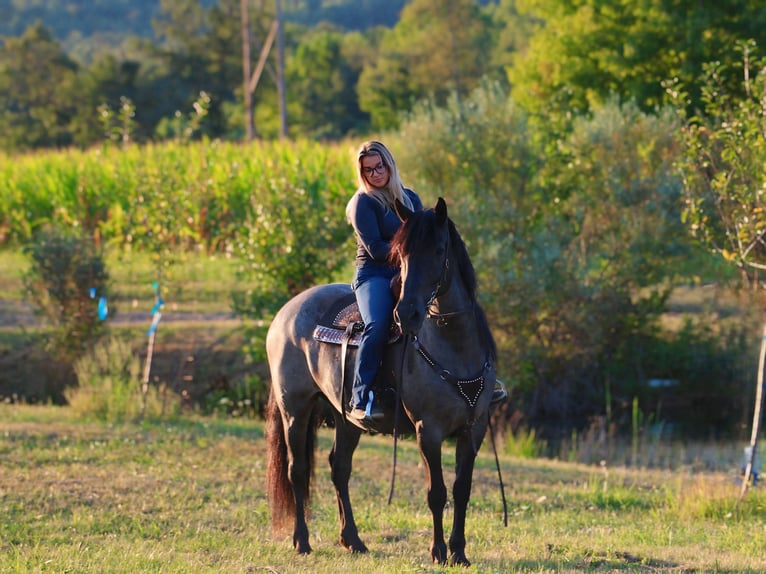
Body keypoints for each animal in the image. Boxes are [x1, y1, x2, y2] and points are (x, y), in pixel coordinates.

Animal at [268, 197, 500, 568]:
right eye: (401, 255)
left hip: (345, 417)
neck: (454, 347)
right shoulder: (428, 429)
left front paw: (460, 552)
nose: (406, 314)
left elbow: (462, 490)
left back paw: (353, 540)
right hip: (295, 408)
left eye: (438, 250)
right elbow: (437, 492)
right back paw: (302, 541)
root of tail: (286, 311)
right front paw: (438, 552)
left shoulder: (473, 429)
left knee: (339, 468)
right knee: (297, 471)